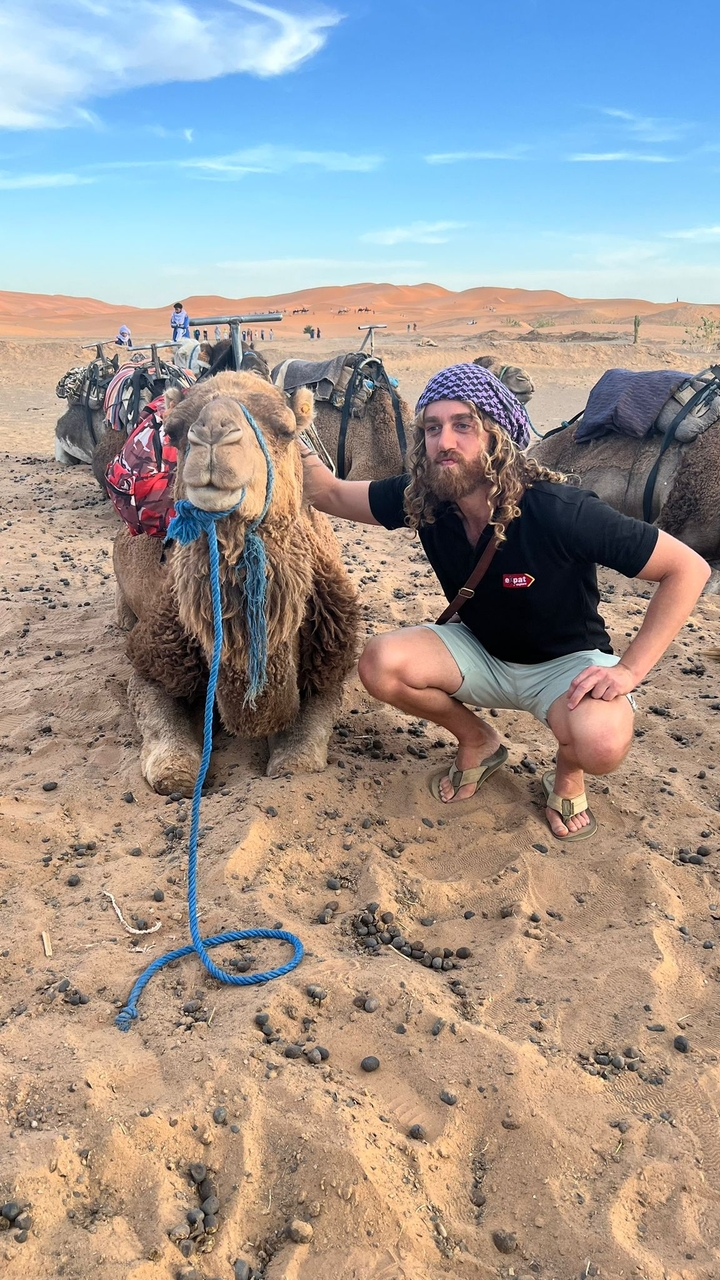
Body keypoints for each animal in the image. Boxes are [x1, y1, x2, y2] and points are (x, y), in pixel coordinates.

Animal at [113, 370, 359, 796]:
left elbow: (301, 753)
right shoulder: (153, 658)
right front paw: (177, 772)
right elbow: (161, 730)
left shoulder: (332, 662)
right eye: (174, 431)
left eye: (284, 429)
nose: (213, 432)